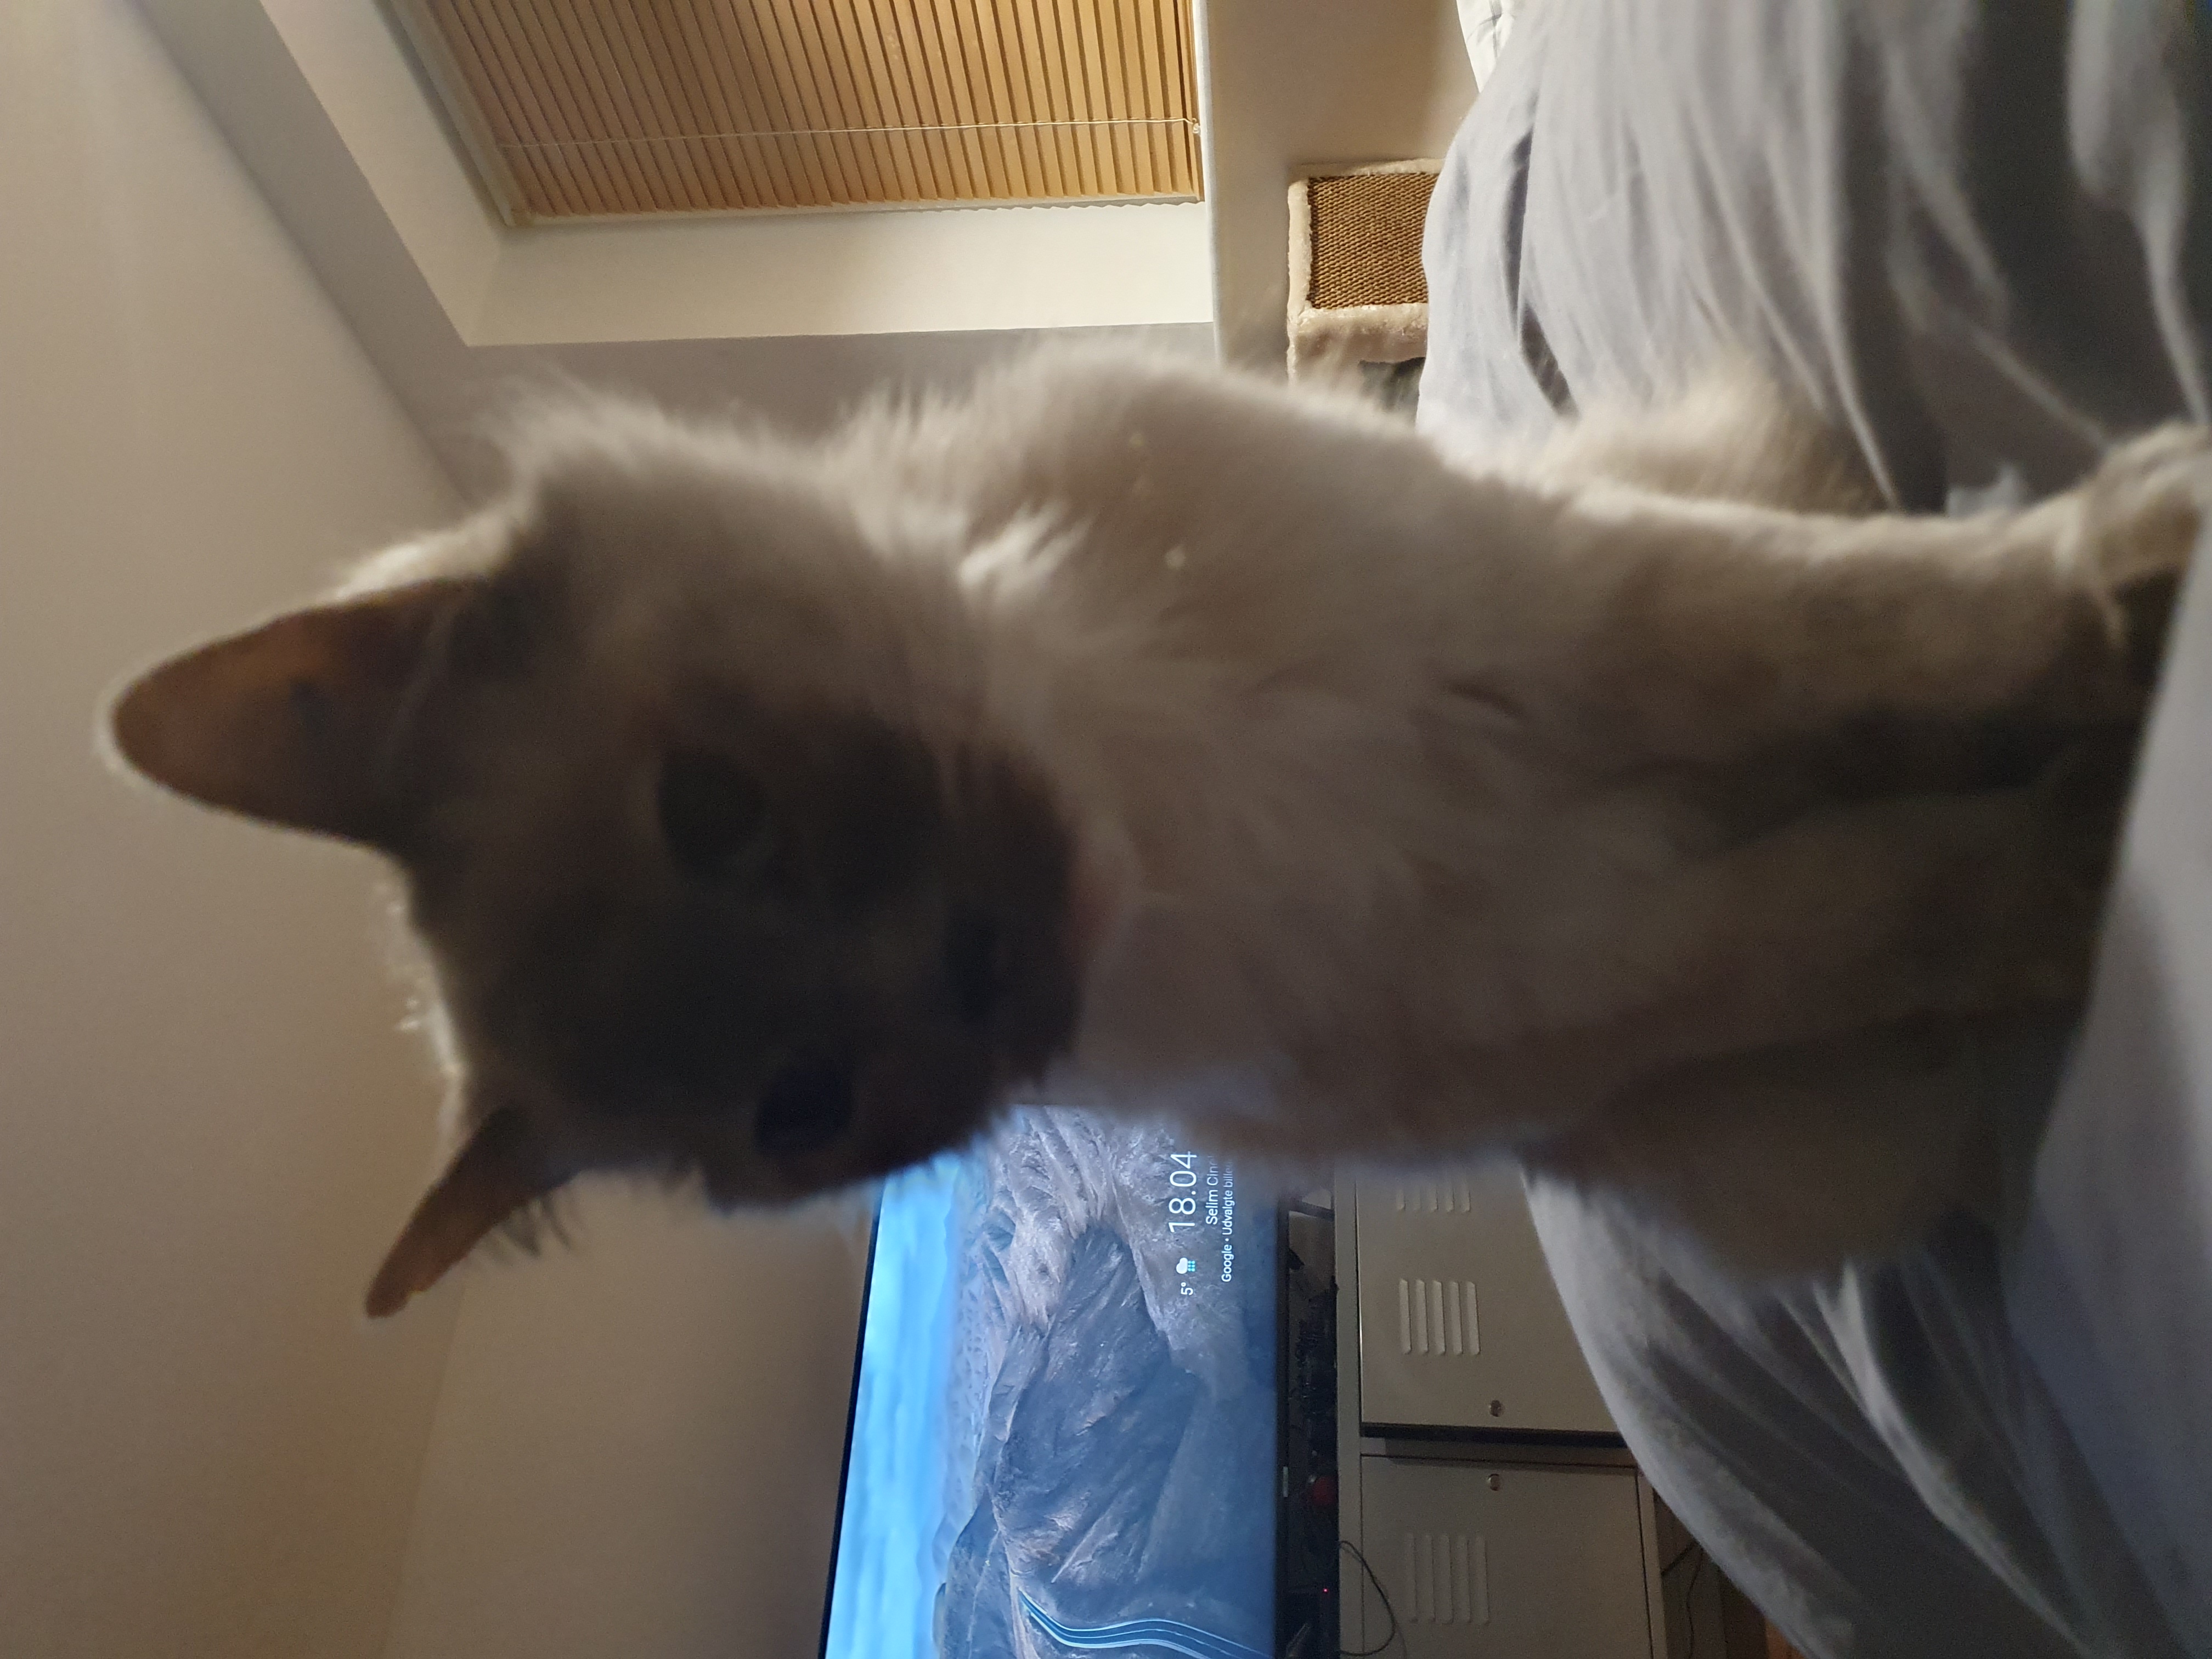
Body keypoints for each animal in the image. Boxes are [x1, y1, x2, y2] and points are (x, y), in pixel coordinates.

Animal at [103, 348, 2202, 1315]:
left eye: (716, 808)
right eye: (801, 1109)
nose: (987, 972)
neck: (1173, 784)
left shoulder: (1557, 615)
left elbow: (1881, 626)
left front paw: (2134, 563)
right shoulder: (1579, 976)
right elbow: (1905, 896)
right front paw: (2102, 840)